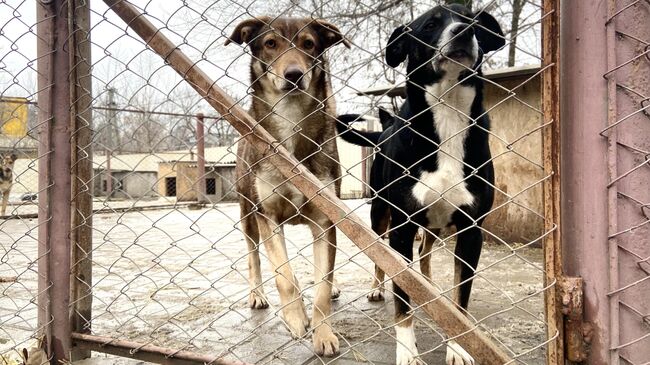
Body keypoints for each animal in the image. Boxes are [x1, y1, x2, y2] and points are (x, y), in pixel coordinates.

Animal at [228, 15, 350, 354]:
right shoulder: (266, 215)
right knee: (254, 256)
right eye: (271, 44)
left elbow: (321, 287)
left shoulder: (325, 219)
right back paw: (257, 294)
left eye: (309, 44)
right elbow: (284, 275)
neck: (291, 120)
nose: (294, 75)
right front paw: (295, 319)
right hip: (247, 213)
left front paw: (323, 334)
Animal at [336, 4, 504, 364]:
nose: (463, 31)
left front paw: (458, 347)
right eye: (429, 25)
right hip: (380, 214)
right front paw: (408, 352)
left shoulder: (471, 231)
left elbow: (460, 301)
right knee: (381, 255)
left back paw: (429, 288)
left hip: (433, 225)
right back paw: (377, 288)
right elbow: (402, 298)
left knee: (425, 257)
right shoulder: (401, 227)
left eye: (473, 21)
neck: (448, 112)